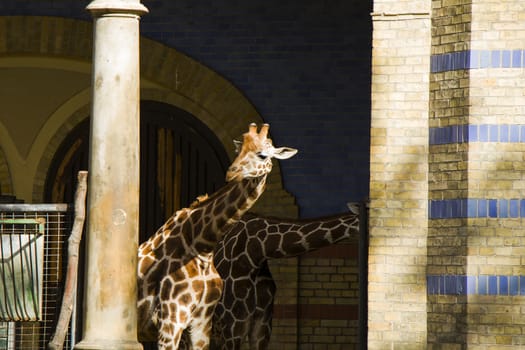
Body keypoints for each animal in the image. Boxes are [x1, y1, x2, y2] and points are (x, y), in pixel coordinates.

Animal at [137, 123, 296, 350]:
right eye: (239, 151)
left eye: (262, 155)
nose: (231, 173)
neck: (203, 244)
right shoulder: (171, 318)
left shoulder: (201, 323)